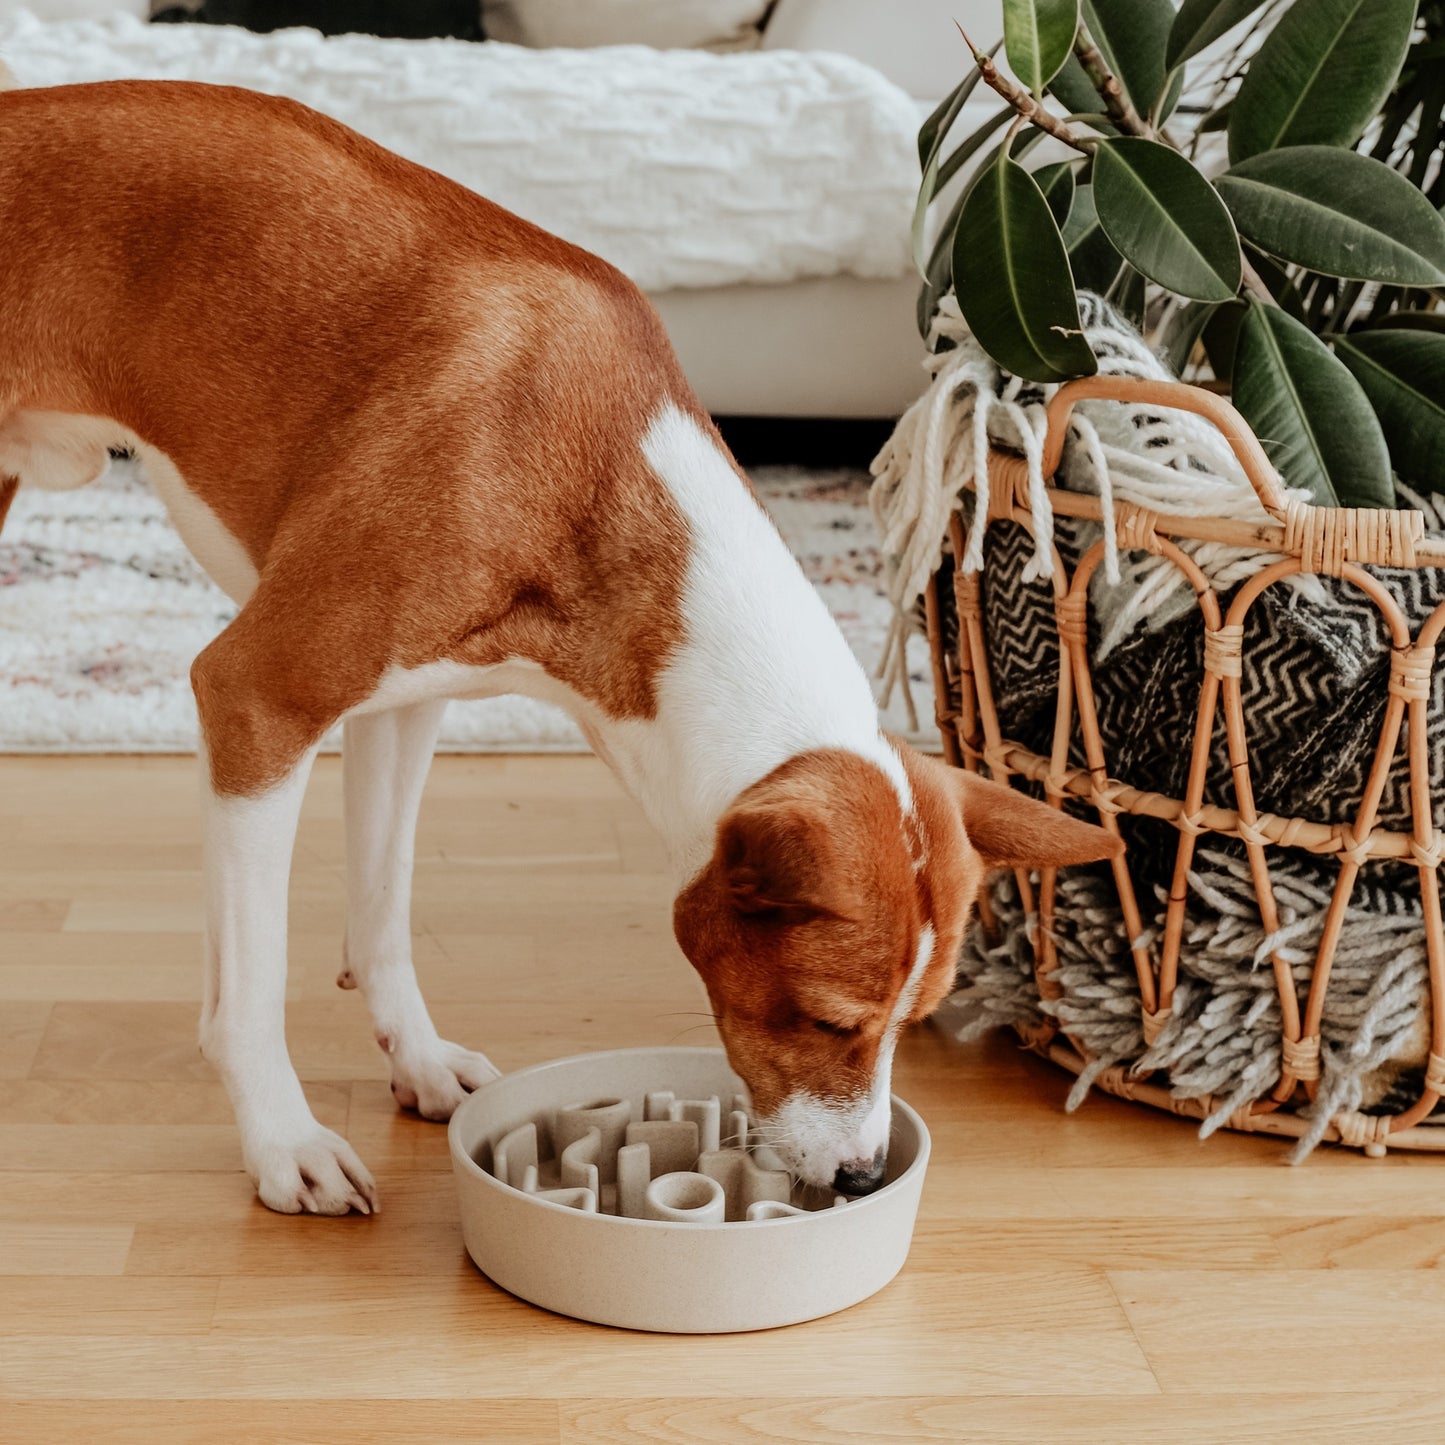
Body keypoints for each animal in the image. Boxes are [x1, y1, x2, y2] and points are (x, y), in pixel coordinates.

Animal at [0, 76, 1115, 1208]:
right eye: (824, 1018)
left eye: (912, 1021)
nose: (857, 1177)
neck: (597, 471)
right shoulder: (258, 698)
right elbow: (251, 986)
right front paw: (283, 1138)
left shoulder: (405, 703)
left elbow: (383, 904)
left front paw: (415, 1056)